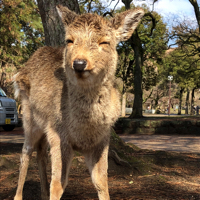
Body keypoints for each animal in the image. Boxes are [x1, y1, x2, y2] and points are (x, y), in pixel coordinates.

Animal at [13, 5, 145, 200]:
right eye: (69, 40)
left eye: (104, 42)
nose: (80, 63)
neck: (84, 129)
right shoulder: (58, 134)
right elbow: (58, 184)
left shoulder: (101, 139)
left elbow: (101, 181)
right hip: (29, 117)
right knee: (26, 152)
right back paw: (18, 195)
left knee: (40, 151)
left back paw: (42, 194)